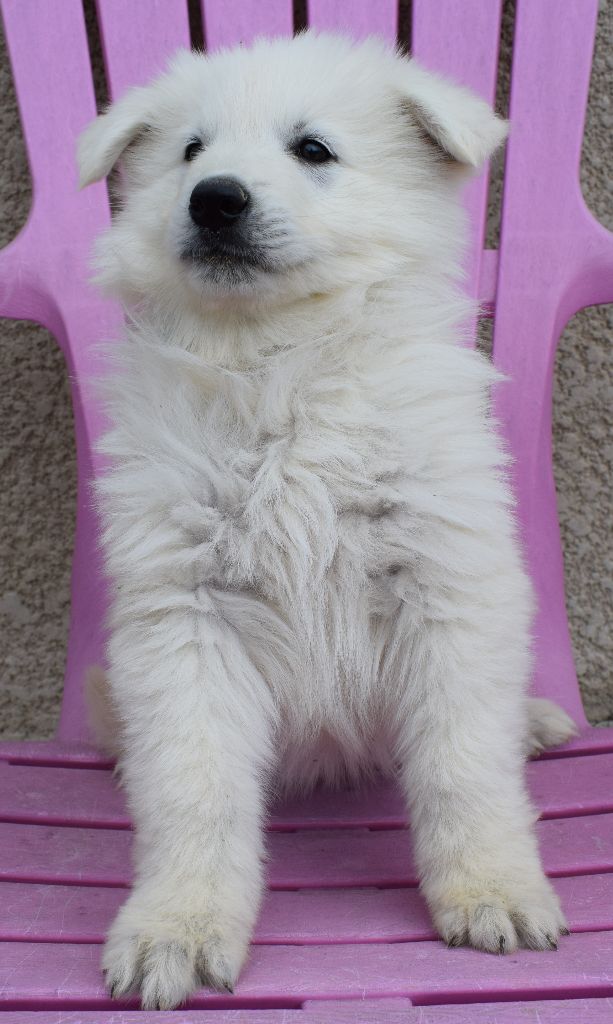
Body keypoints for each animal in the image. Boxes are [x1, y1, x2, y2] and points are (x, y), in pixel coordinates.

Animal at [77, 32, 577, 1009]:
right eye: (190, 151)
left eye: (312, 149)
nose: (215, 197)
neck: (278, 361)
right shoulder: (185, 615)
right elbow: (192, 786)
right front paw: (175, 929)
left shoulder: (443, 583)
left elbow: (462, 763)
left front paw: (491, 890)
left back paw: (533, 721)